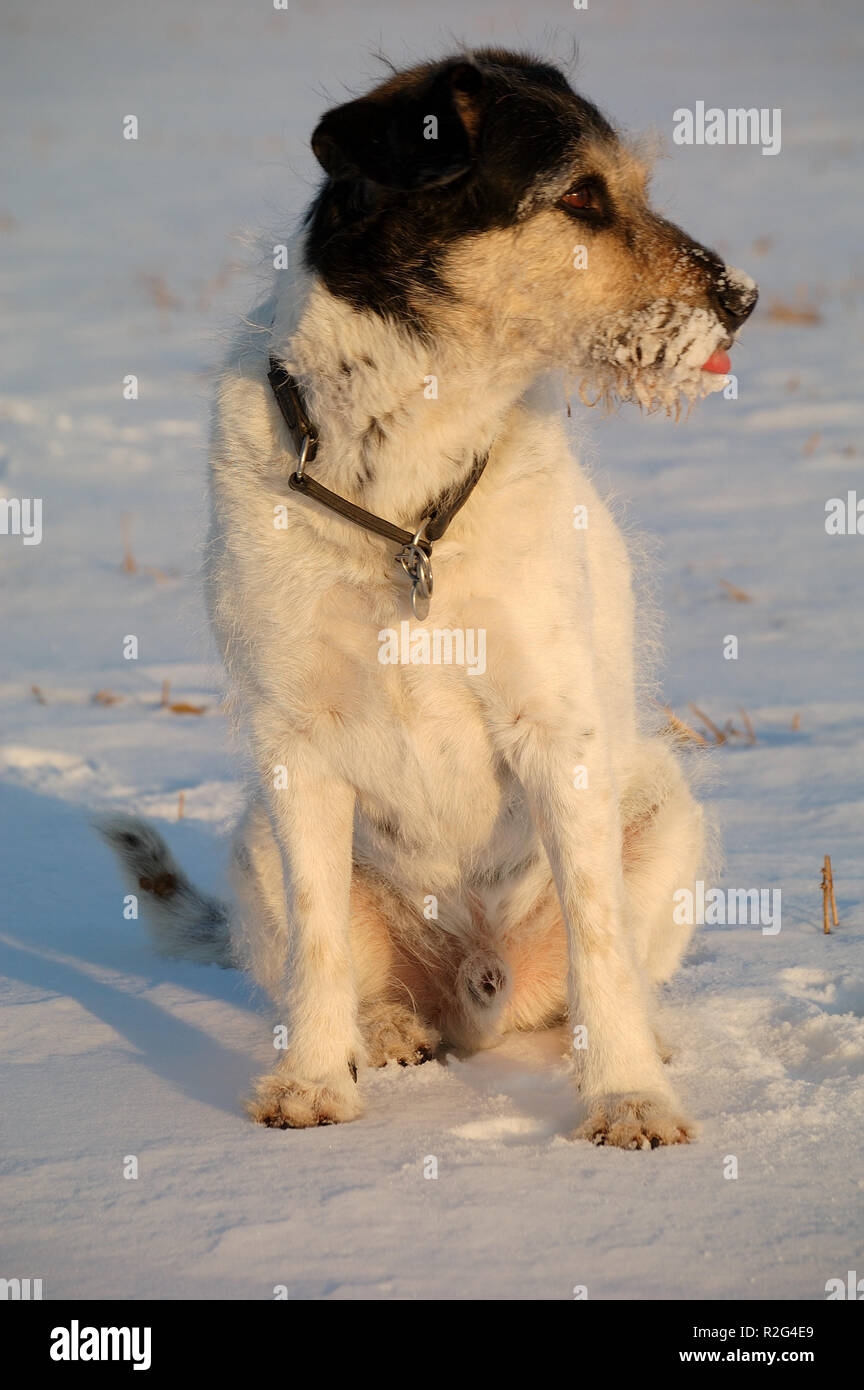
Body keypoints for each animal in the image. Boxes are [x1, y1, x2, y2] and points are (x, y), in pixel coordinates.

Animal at [101, 48, 755, 1145]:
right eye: (581, 195)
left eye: (627, 186)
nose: (745, 298)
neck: (402, 482)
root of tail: (476, 986)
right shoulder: (297, 746)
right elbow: (319, 946)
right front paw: (313, 1084)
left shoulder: (557, 731)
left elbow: (600, 941)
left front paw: (628, 1098)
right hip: (257, 841)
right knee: (340, 968)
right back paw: (388, 1030)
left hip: (664, 811)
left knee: (598, 973)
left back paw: (637, 1045)